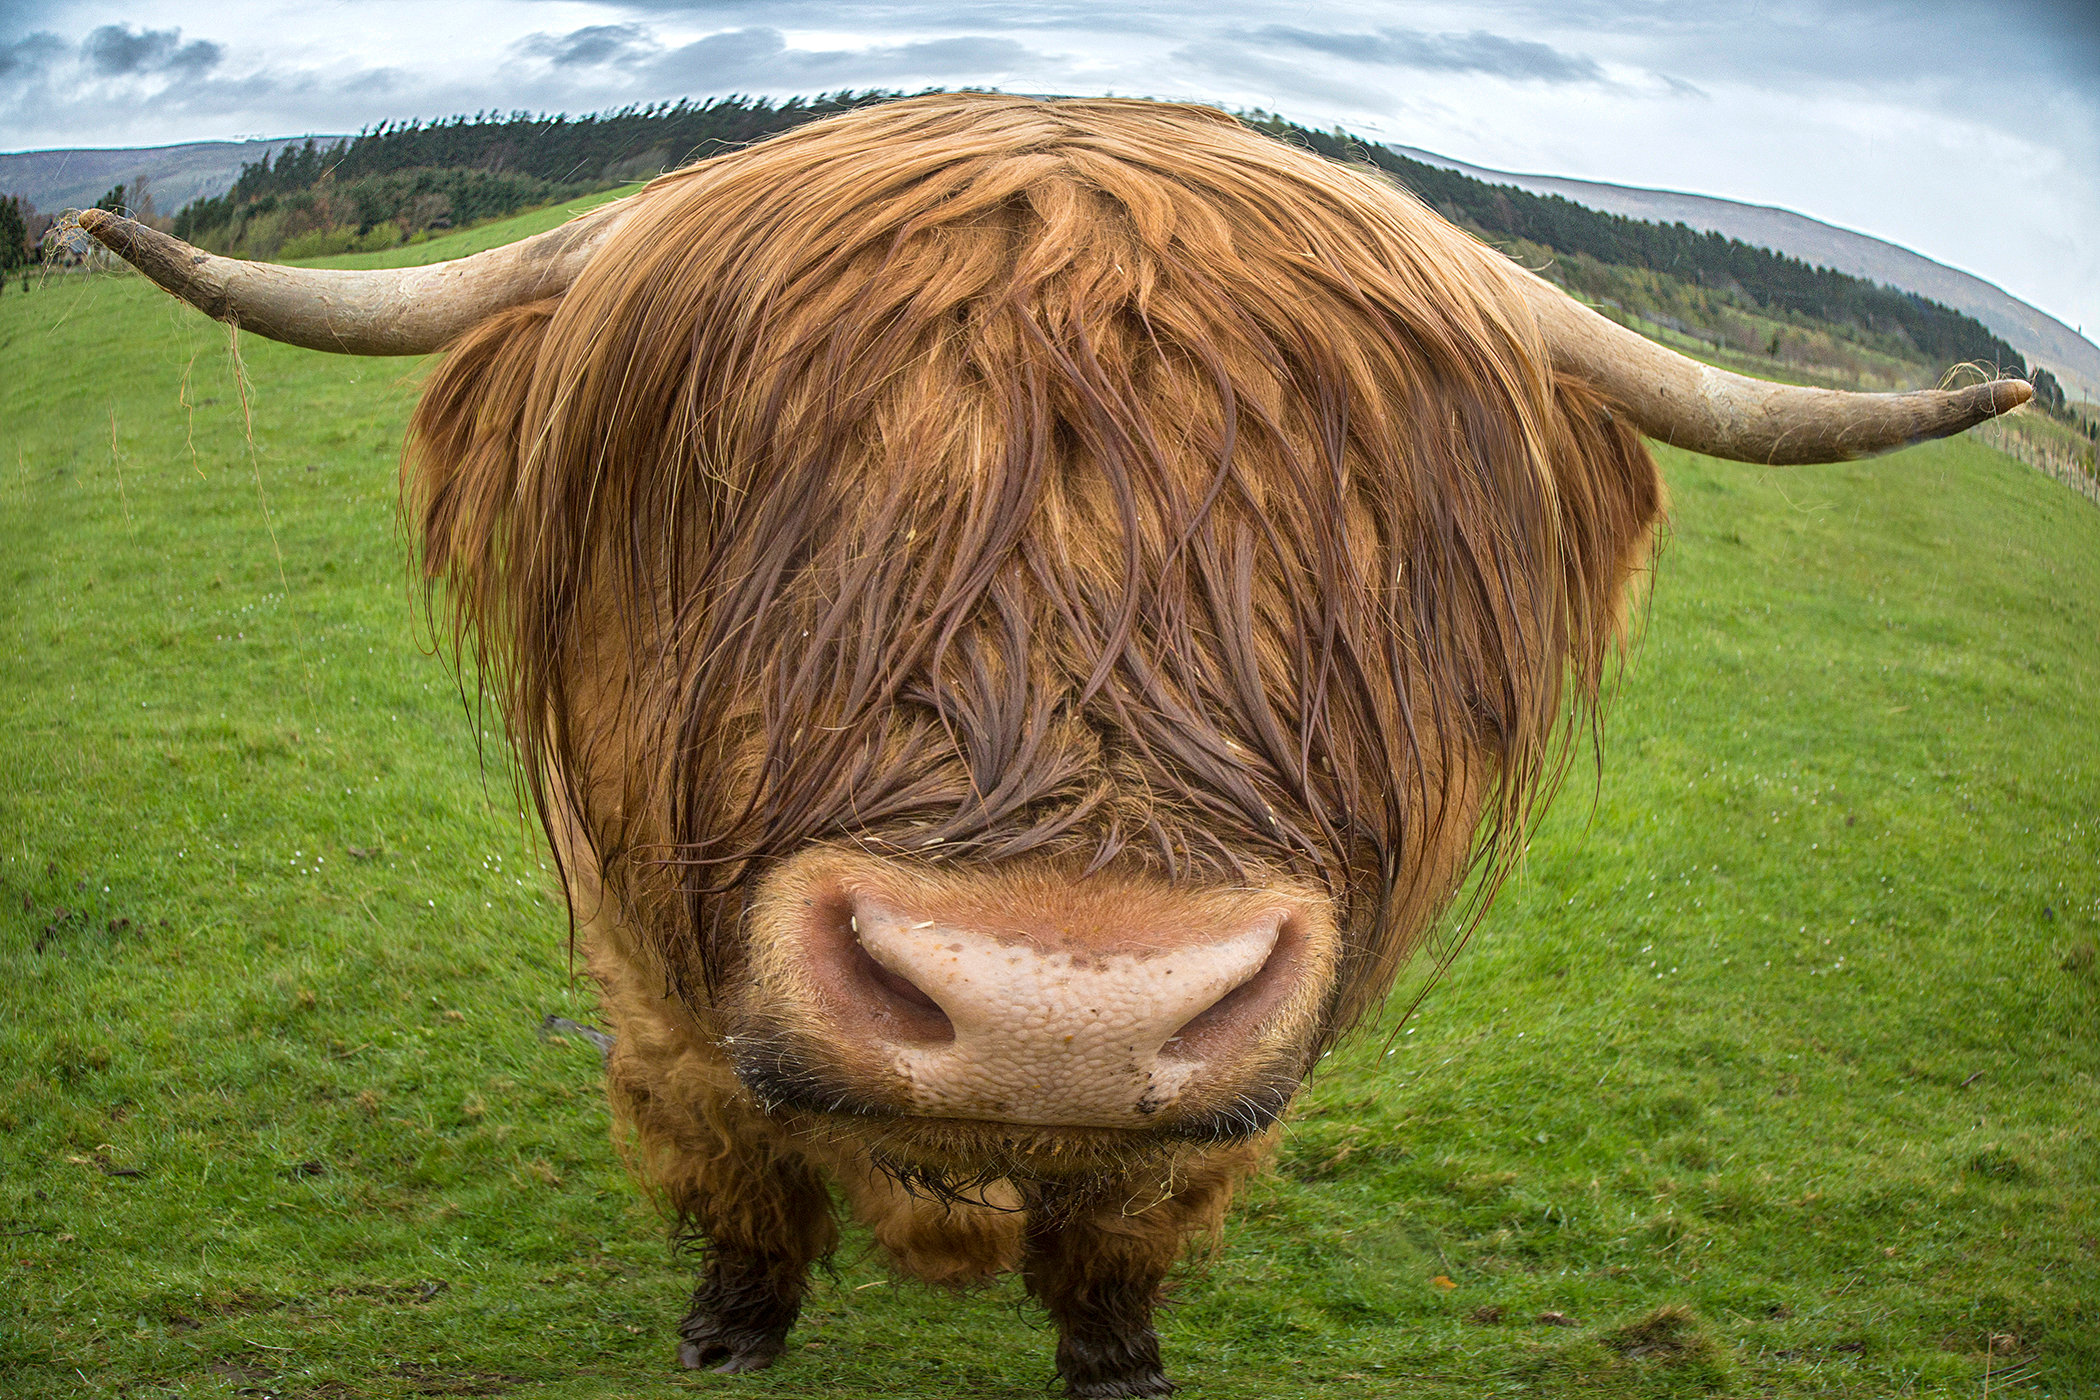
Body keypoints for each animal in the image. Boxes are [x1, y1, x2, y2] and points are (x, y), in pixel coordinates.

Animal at [73, 94, 2029, 1397]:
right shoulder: (651, 967)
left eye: (1357, 529)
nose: (1058, 1003)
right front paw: (732, 1322)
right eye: (746, 476)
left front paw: (1119, 1356)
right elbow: (731, 1146)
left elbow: (1135, 1208)